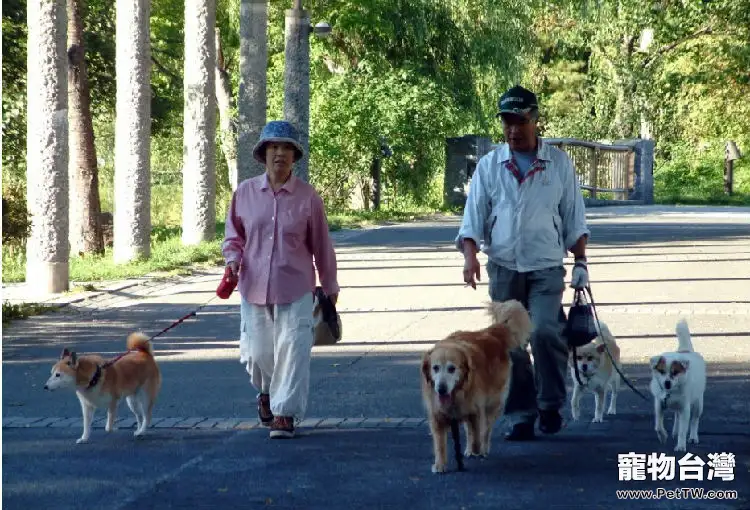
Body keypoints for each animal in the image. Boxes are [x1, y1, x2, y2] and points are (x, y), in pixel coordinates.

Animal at [648, 320, 708, 452]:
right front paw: (663, 436)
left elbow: (683, 429)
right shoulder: (659, 405)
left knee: (694, 420)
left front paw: (680, 446)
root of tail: (686, 350)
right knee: (676, 416)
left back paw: (693, 437)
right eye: (661, 371)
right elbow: (658, 426)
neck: (671, 392)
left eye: (675, 372)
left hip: (698, 403)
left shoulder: (685, 409)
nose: (667, 383)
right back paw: (674, 431)